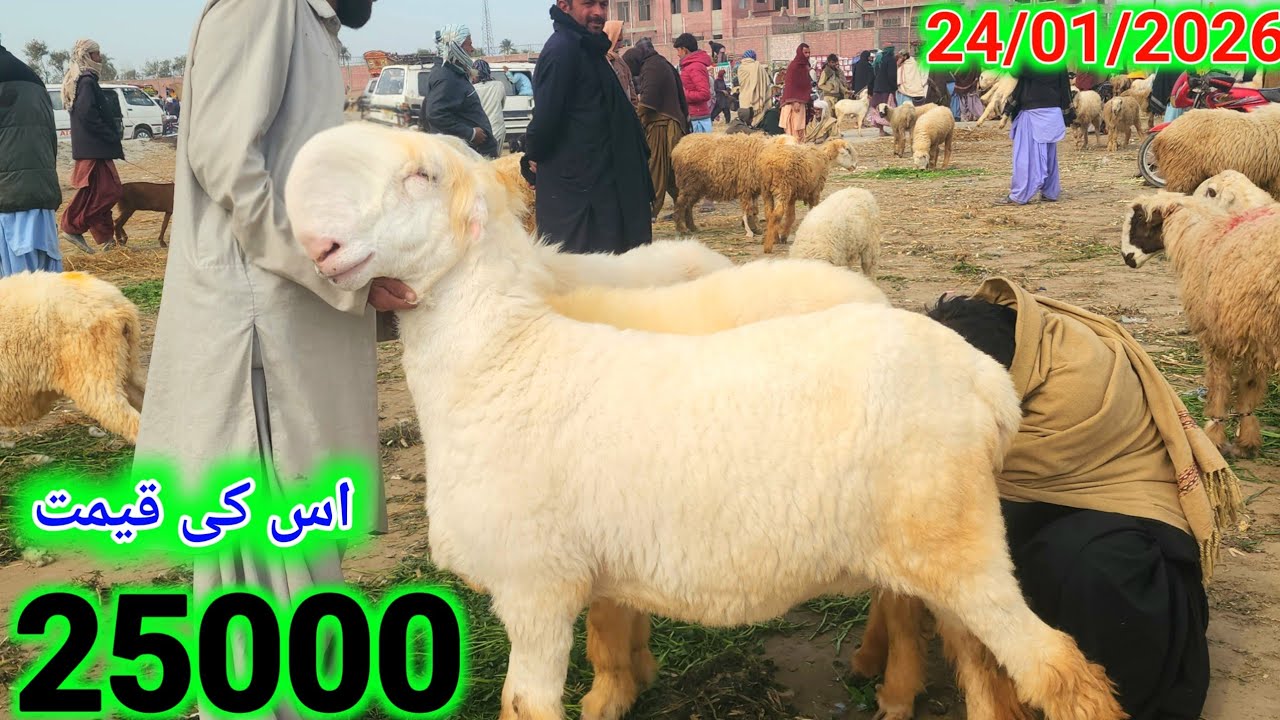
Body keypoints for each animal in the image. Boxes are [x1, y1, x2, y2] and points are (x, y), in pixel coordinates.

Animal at [283, 122, 1127, 720]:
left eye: (420, 175)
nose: (318, 245)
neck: (502, 359)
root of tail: (987, 385)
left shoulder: (536, 585)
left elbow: (526, 703)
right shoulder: (588, 570)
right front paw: (624, 687)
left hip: (957, 542)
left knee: (1059, 668)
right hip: (932, 548)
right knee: (981, 662)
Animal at [1120, 190, 1280, 457]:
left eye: (1140, 220)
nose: (1127, 258)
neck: (1203, 239)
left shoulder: (1215, 334)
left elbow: (1219, 386)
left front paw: (1214, 436)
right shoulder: (1252, 334)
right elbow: (1249, 385)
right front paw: (1247, 441)